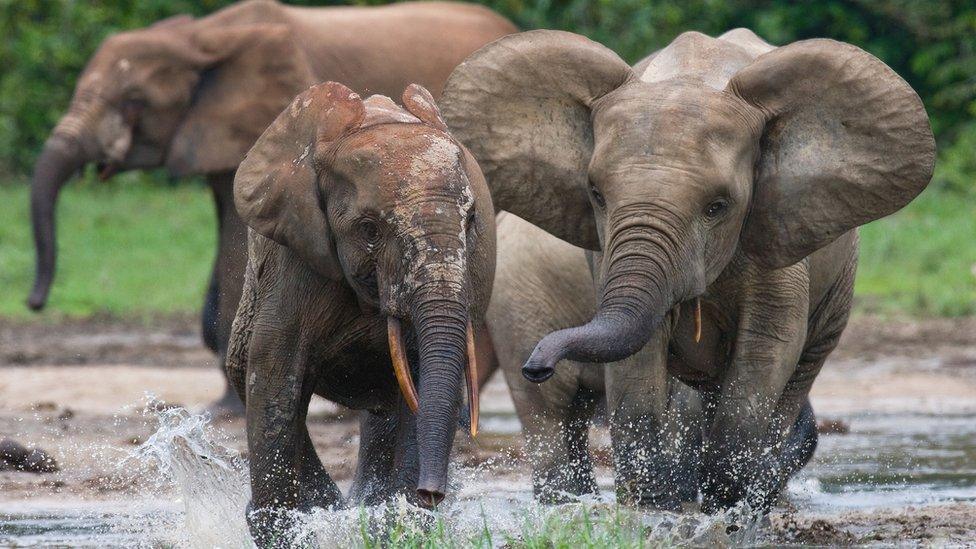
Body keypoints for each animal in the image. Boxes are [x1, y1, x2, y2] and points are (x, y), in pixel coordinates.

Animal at [227, 81, 496, 544]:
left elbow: (420, 378)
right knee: (245, 370)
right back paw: (335, 507)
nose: (432, 493)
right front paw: (284, 527)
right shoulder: (293, 261)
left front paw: (403, 518)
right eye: (370, 229)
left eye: (472, 219)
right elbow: (275, 372)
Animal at [438, 27, 936, 512]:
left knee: (797, 370)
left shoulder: (775, 228)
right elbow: (641, 351)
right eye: (596, 194)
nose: (535, 365)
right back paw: (568, 501)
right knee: (551, 410)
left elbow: (769, 342)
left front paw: (725, 504)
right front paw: (655, 503)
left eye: (719, 206)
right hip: (519, 301)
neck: (693, 77)